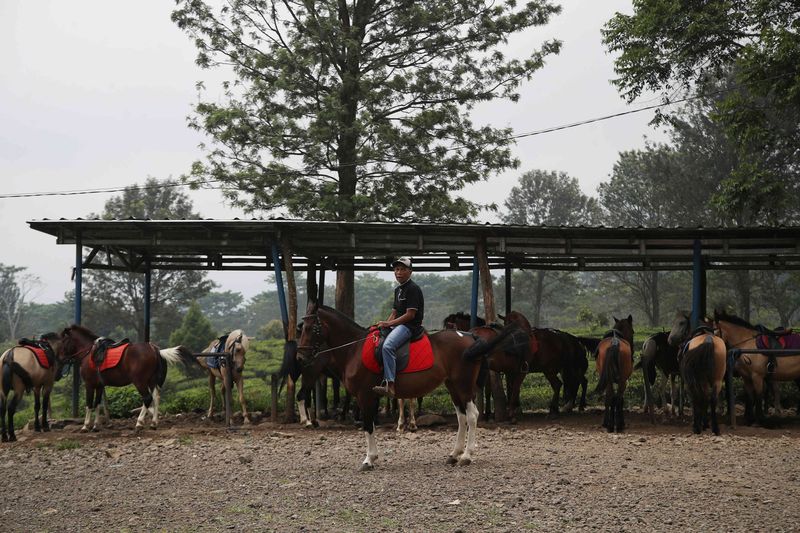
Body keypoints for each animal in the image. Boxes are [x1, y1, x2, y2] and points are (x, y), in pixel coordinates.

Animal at [56, 324, 200, 432]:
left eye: (63, 341)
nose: (60, 358)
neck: (89, 353)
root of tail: (154, 349)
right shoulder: (99, 385)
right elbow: (97, 404)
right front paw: (96, 425)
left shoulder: (89, 385)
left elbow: (89, 404)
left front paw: (85, 426)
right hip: (151, 381)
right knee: (155, 398)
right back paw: (153, 423)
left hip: (140, 381)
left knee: (147, 398)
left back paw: (139, 423)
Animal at [296, 304, 490, 470]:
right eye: (302, 328)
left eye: (310, 328)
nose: (300, 357)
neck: (354, 348)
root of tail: (469, 336)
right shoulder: (369, 397)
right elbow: (371, 425)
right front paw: (373, 457)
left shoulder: (365, 395)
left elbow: (368, 425)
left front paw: (368, 460)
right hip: (452, 386)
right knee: (461, 417)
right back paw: (454, 454)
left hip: (463, 385)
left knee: (472, 416)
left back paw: (466, 456)